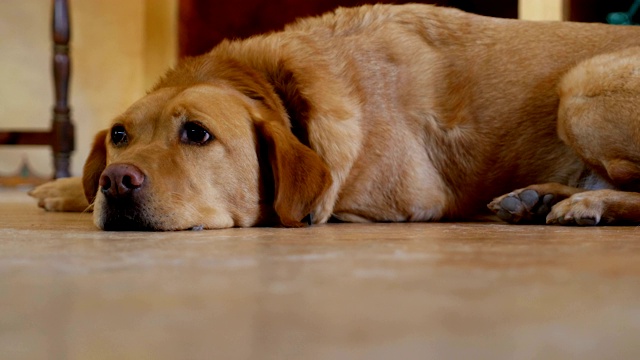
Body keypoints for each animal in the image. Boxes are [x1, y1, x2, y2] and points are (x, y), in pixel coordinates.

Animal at [30, 4, 640, 231]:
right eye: (119, 136)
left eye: (197, 134)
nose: (116, 181)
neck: (276, 83)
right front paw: (65, 186)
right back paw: (538, 198)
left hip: (579, 88)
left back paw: (584, 203)